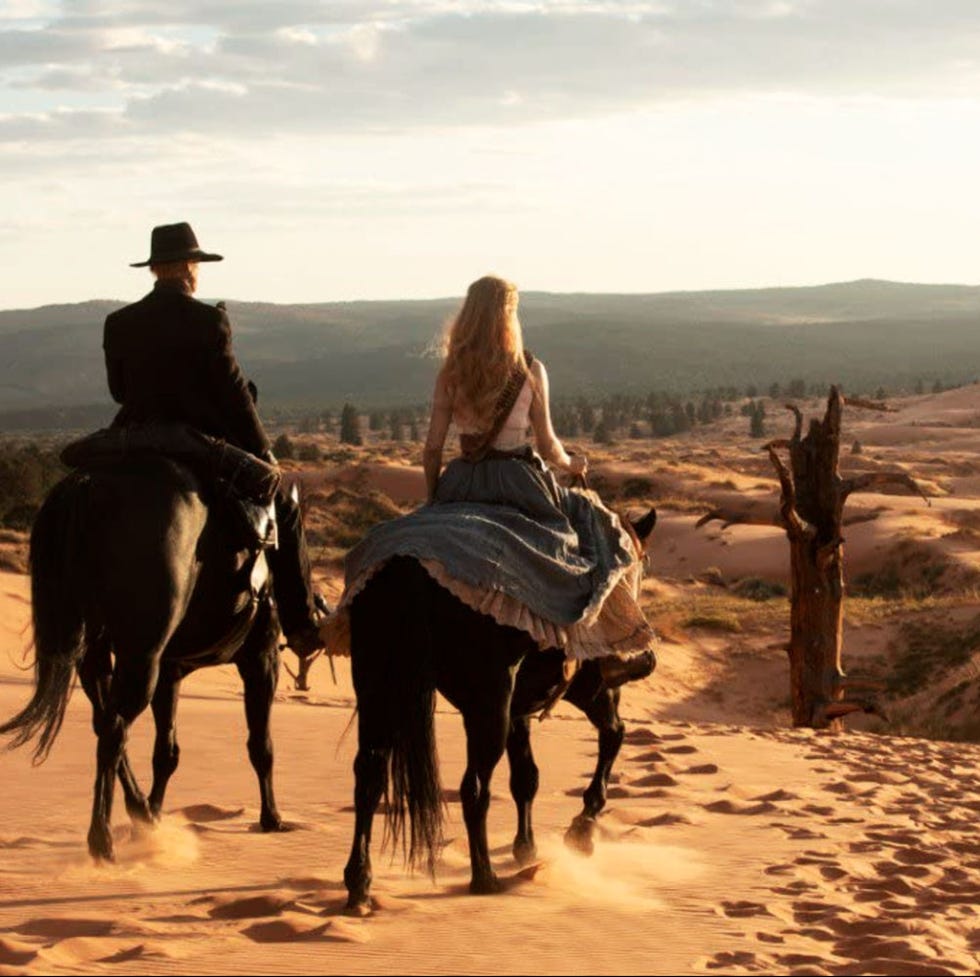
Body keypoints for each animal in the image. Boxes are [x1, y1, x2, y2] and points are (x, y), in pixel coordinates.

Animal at [0, 454, 290, 856]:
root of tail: (86, 487)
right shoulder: (262, 658)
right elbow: (261, 744)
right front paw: (271, 818)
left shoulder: (171, 669)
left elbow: (166, 751)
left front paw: (154, 810)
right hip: (142, 654)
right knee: (115, 728)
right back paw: (102, 840)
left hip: (96, 652)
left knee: (104, 721)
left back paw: (141, 814)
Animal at [344, 508, 660, 912]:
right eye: (644, 564)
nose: (641, 658)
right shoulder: (595, 693)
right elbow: (613, 738)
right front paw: (582, 831)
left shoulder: (519, 712)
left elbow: (526, 777)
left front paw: (526, 848)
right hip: (487, 709)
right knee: (474, 787)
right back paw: (484, 877)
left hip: (380, 694)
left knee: (368, 778)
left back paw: (359, 884)